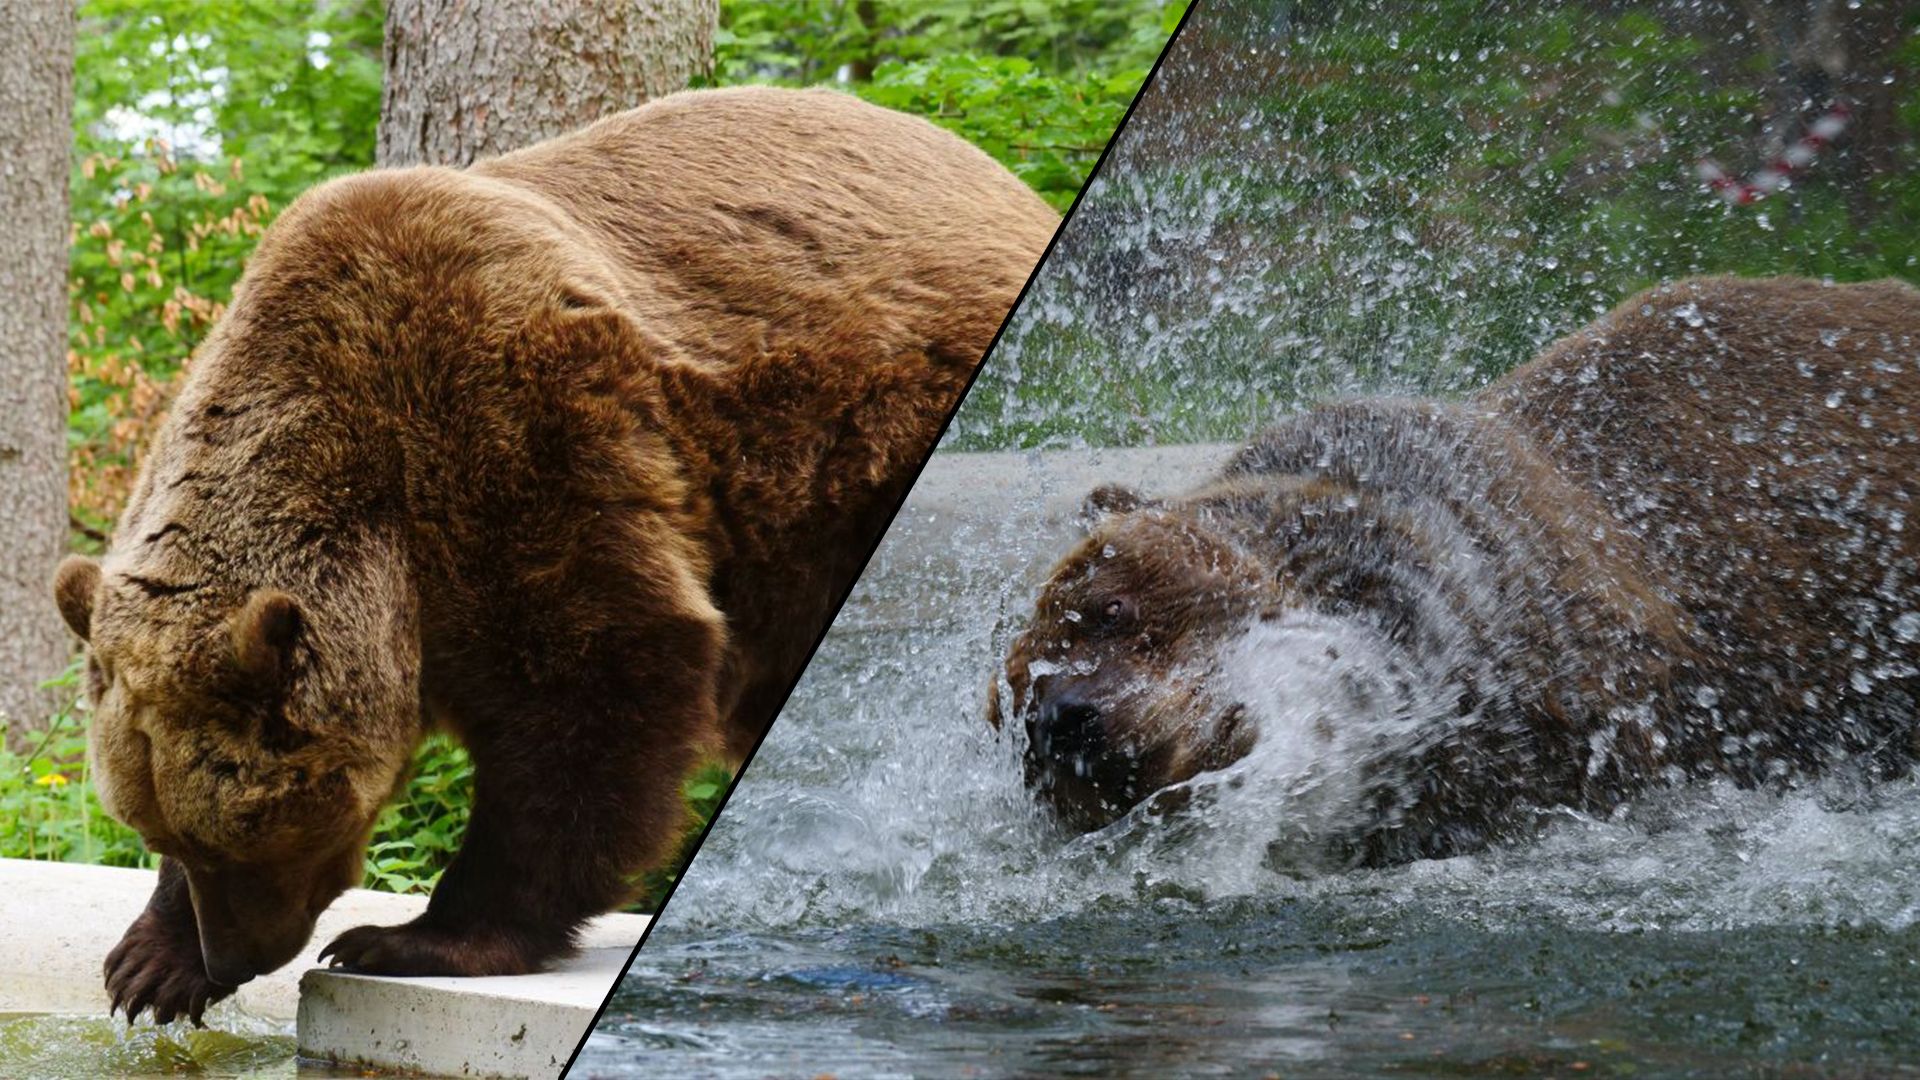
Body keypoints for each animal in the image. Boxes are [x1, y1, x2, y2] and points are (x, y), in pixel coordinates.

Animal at [49, 85, 1057, 1024]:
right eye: (165, 837)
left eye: (245, 838)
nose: (233, 954)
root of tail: (1013, 189)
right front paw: (150, 966)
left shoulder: (507, 429)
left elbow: (591, 679)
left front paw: (407, 936)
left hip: (848, 462)